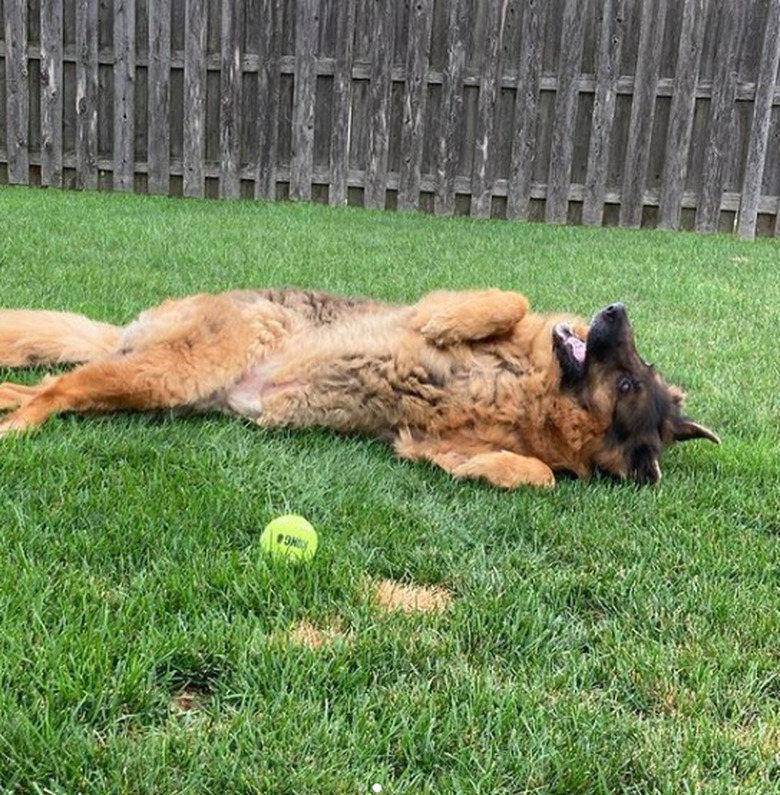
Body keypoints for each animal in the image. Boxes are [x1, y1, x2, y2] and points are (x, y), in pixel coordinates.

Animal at [0, 290, 720, 488]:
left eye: (628, 377)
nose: (615, 309)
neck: (531, 391)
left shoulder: (434, 438)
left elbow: (538, 474)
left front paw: (494, 469)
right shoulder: (448, 310)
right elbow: (502, 303)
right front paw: (449, 322)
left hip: (161, 382)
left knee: (50, 384)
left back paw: (12, 413)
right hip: (174, 369)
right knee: (59, 386)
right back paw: (20, 427)